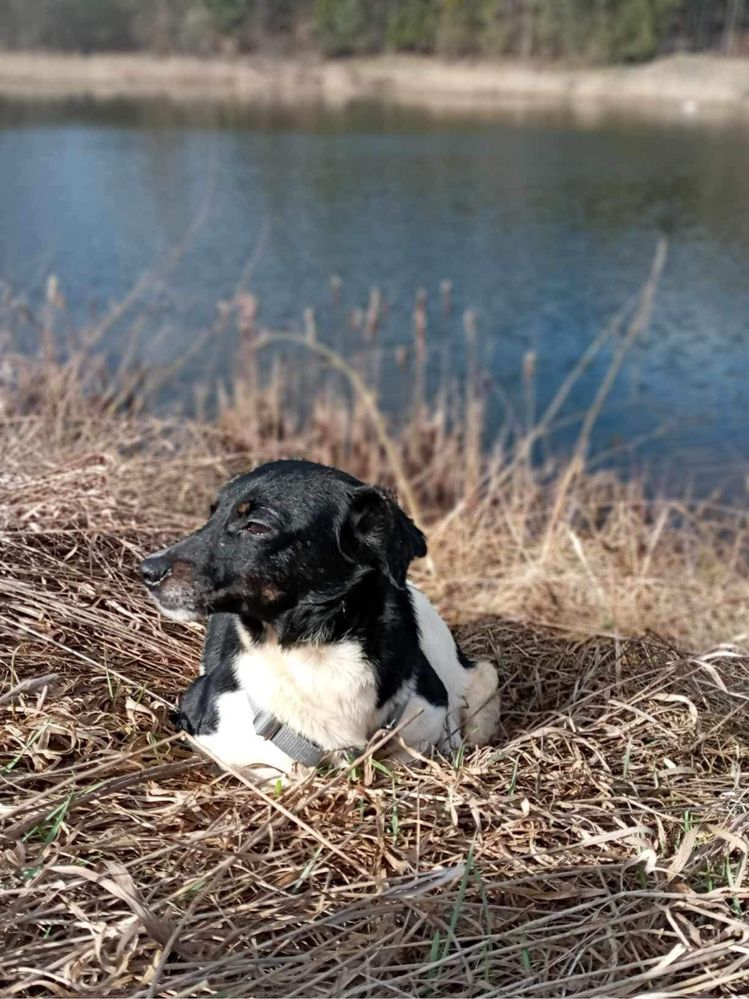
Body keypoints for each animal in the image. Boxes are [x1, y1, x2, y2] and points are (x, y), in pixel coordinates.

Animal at [141, 460, 500, 780]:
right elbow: (276, 768)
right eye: (212, 515)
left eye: (256, 525)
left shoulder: (427, 712)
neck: (316, 651)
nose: (147, 570)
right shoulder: (203, 718)